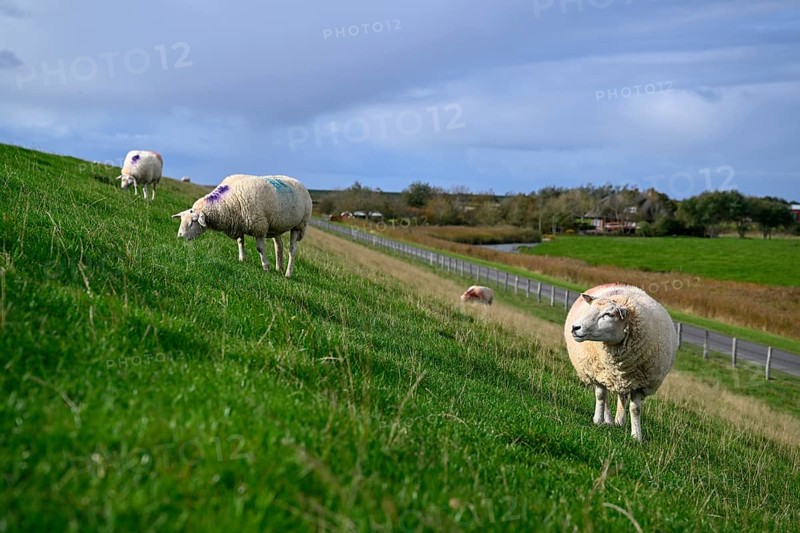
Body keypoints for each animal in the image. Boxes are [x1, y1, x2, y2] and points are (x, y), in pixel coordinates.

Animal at [171, 174, 313, 277]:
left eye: (193, 222)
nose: (180, 237)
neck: (227, 201)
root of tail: (298, 181)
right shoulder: (238, 224)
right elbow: (240, 242)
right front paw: (242, 259)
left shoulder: (259, 226)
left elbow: (260, 248)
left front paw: (265, 266)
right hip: (275, 225)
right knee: (279, 245)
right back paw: (279, 268)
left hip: (299, 225)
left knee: (292, 249)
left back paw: (288, 273)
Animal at [564, 283, 677, 441]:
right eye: (590, 309)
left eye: (609, 314)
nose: (575, 328)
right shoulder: (598, 372)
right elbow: (600, 396)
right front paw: (597, 420)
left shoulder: (639, 383)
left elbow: (635, 409)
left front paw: (637, 436)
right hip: (605, 376)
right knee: (606, 397)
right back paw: (608, 420)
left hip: (622, 380)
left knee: (622, 397)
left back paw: (619, 421)